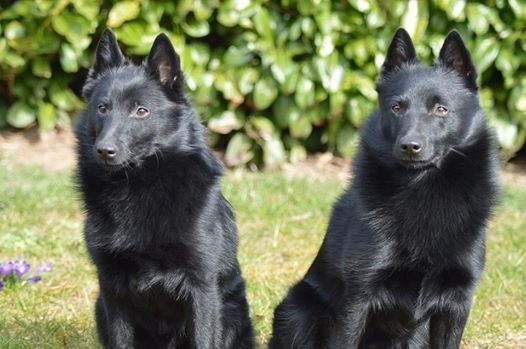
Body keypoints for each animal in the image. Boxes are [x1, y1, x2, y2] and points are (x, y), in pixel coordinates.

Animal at [75, 29, 255, 348]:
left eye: (141, 111)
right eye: (102, 108)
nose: (104, 151)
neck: (138, 185)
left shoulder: (201, 287)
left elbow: (203, 339)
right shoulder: (111, 287)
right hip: (99, 306)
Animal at [270, 28, 502, 346]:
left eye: (441, 109)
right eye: (396, 107)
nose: (410, 146)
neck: (422, 192)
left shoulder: (456, 304)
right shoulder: (357, 299)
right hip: (298, 312)